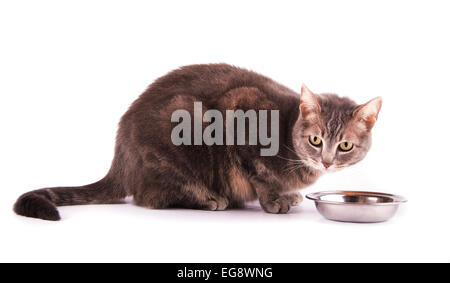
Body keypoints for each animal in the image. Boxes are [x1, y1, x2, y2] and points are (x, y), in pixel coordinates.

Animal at [13, 64, 380, 222]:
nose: (326, 161)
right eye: (316, 140)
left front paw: (287, 194)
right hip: (182, 130)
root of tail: (120, 156)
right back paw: (209, 199)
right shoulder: (240, 113)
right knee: (150, 197)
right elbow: (260, 176)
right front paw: (275, 200)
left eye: (344, 146)